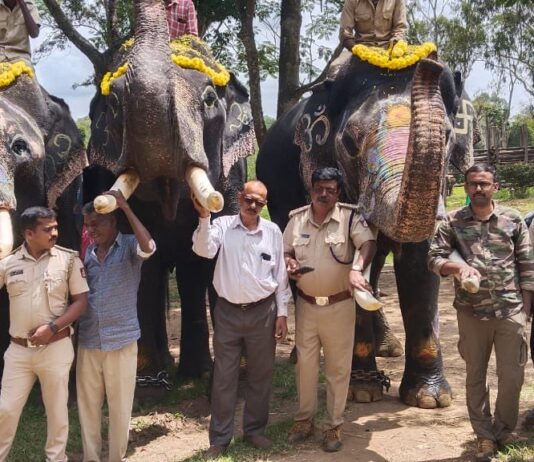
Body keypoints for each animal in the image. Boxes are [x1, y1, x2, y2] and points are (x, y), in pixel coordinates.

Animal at [85, 0, 256, 378]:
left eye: (210, 99)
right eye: (114, 105)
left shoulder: (232, 177)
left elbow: (209, 261)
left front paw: (213, 379)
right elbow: (142, 265)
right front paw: (147, 381)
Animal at [258, 46, 480, 408]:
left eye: (448, 136)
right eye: (349, 143)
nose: (430, 62)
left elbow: (420, 261)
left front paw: (430, 398)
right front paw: (362, 391)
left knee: (374, 267)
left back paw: (387, 347)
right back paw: (300, 356)